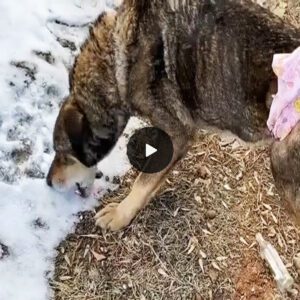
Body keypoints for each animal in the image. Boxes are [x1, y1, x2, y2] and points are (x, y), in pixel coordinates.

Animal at [45, 0, 300, 230]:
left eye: (63, 154)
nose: (47, 182)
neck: (118, 60)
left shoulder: (177, 135)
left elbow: (142, 183)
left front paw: (119, 215)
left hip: (280, 158)